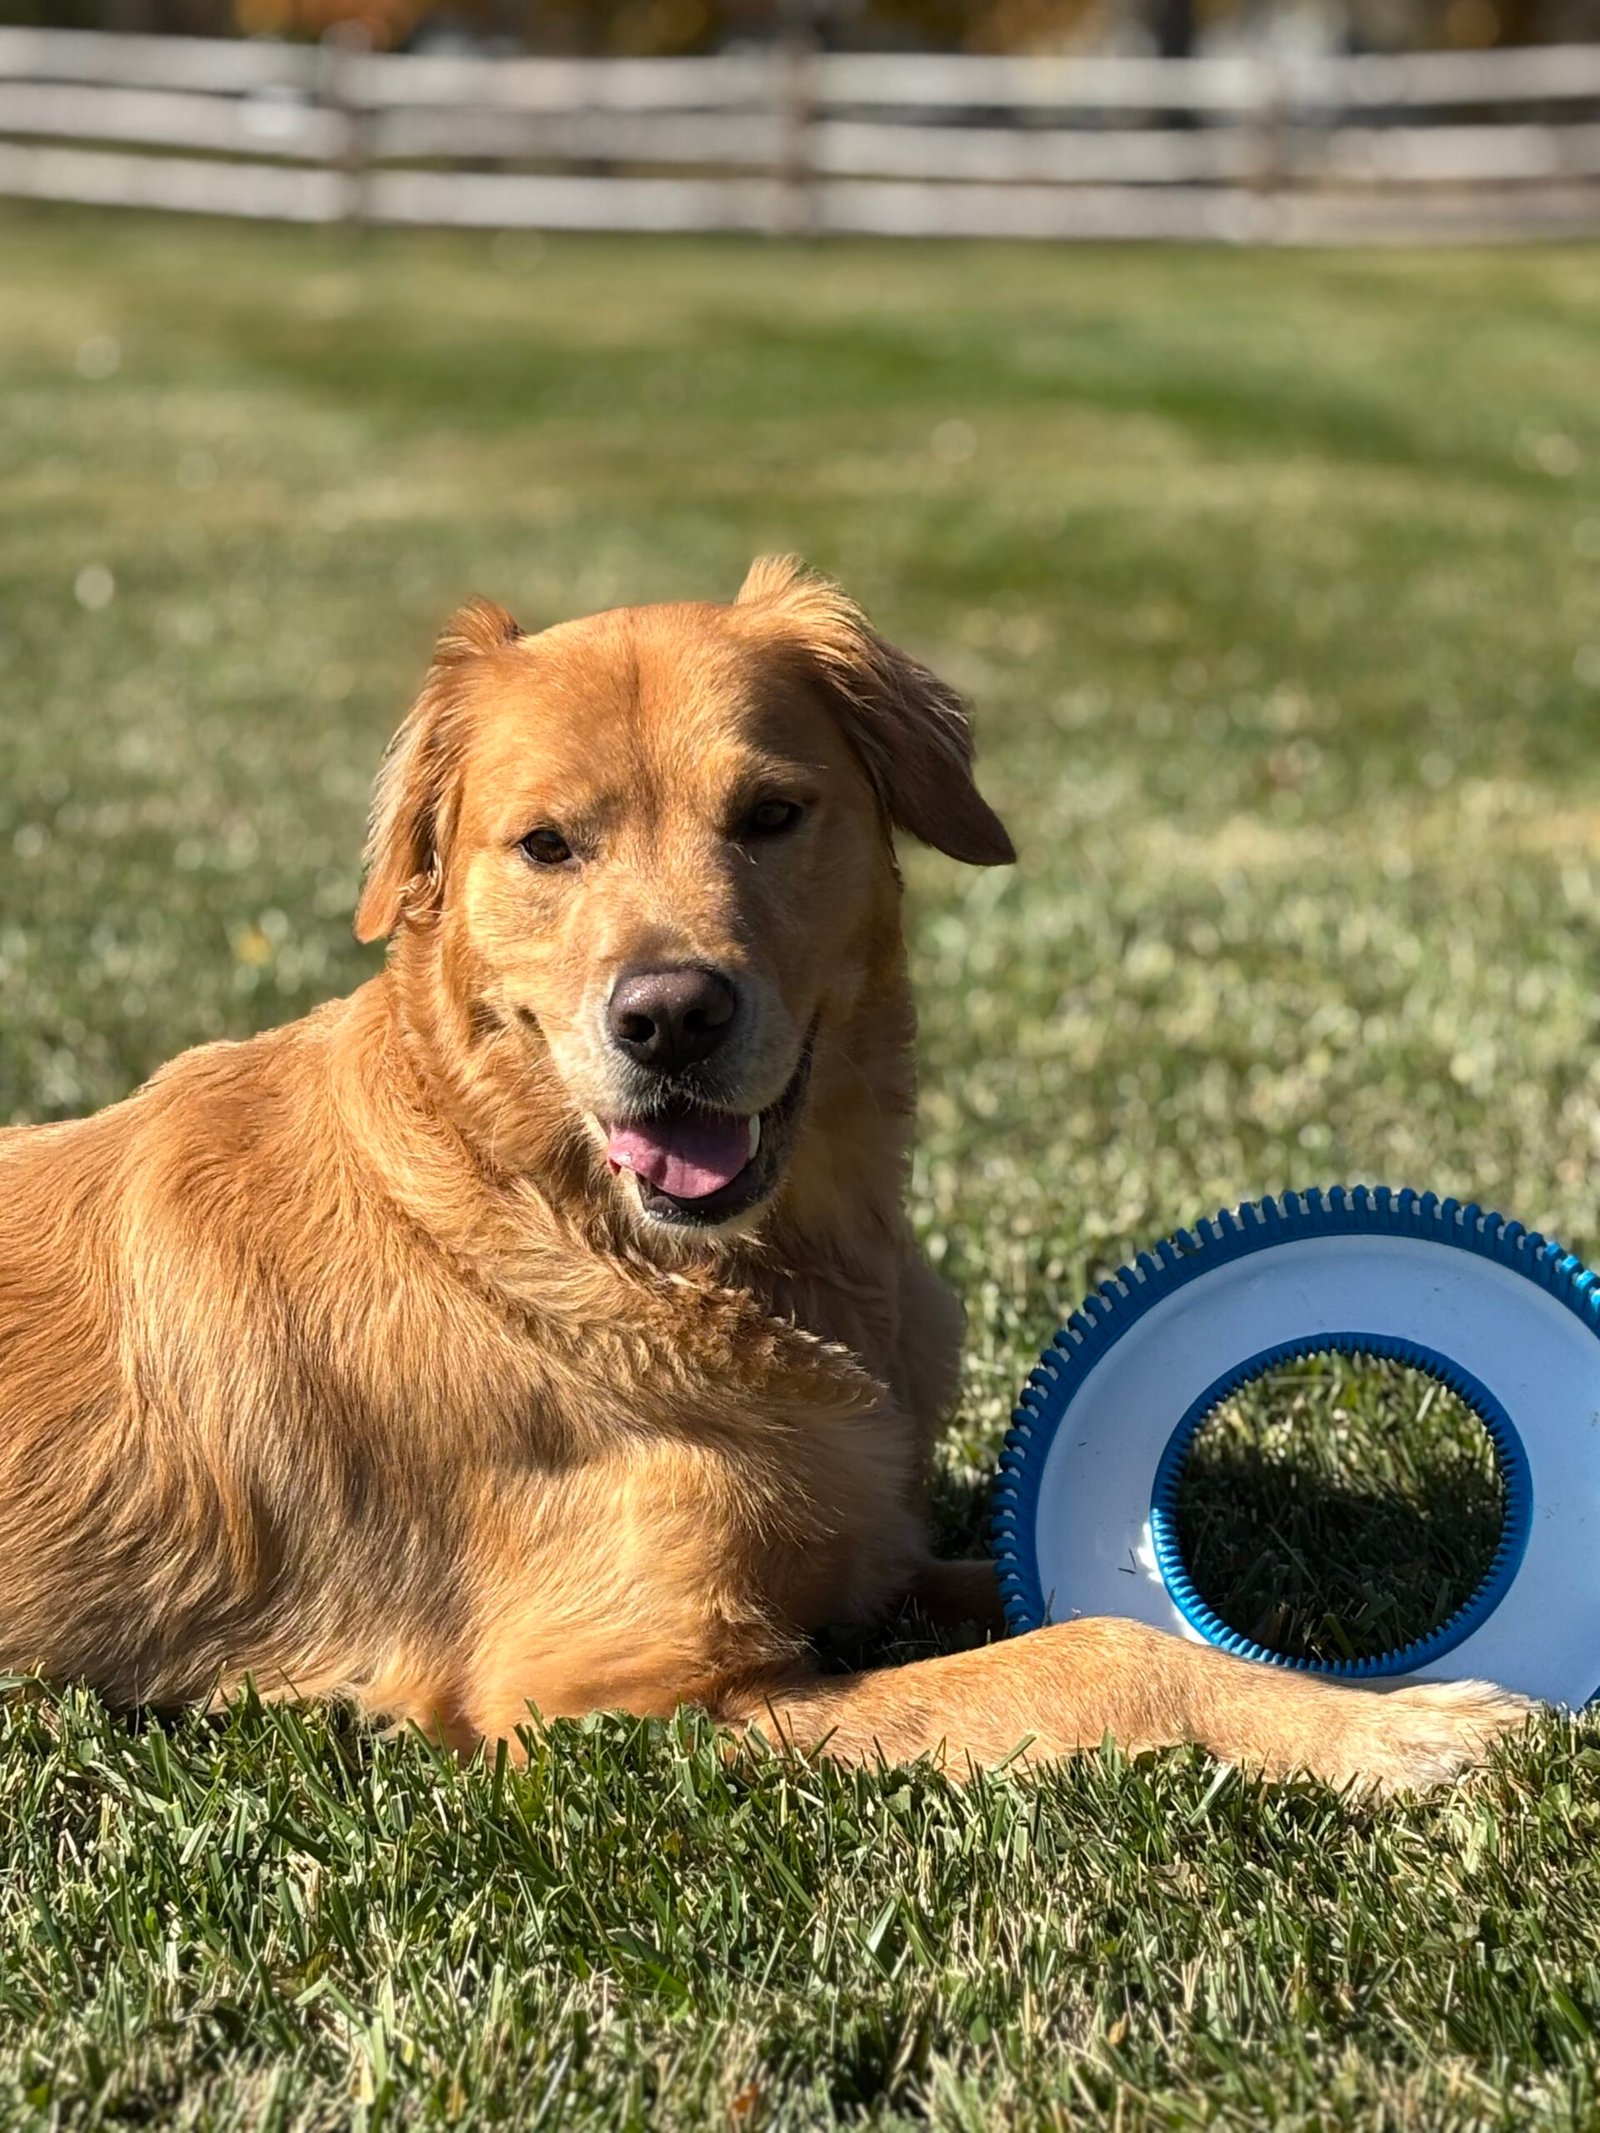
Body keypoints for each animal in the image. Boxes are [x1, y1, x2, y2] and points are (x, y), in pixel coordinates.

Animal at [0, 558, 1529, 1788]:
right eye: (545, 844)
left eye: (772, 813)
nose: (670, 1015)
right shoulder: (618, 1693)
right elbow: (1097, 1648)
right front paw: (1398, 1726)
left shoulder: (867, 1554)